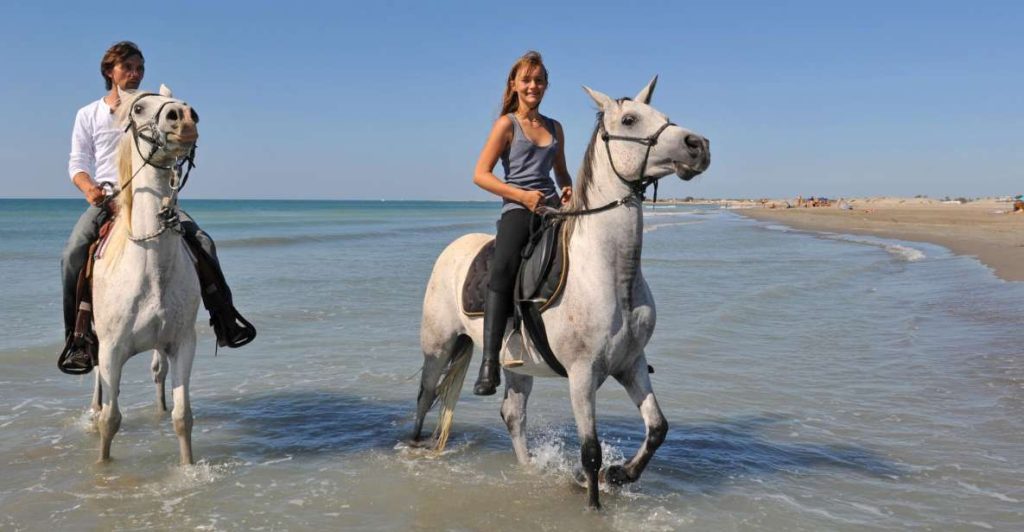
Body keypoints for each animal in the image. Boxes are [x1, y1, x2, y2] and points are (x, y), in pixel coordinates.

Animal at [90, 85, 201, 462]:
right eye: (139, 109)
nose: (184, 117)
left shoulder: (182, 343)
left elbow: (183, 417)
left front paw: (187, 467)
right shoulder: (111, 350)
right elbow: (111, 420)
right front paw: (102, 466)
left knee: (157, 373)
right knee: (98, 386)